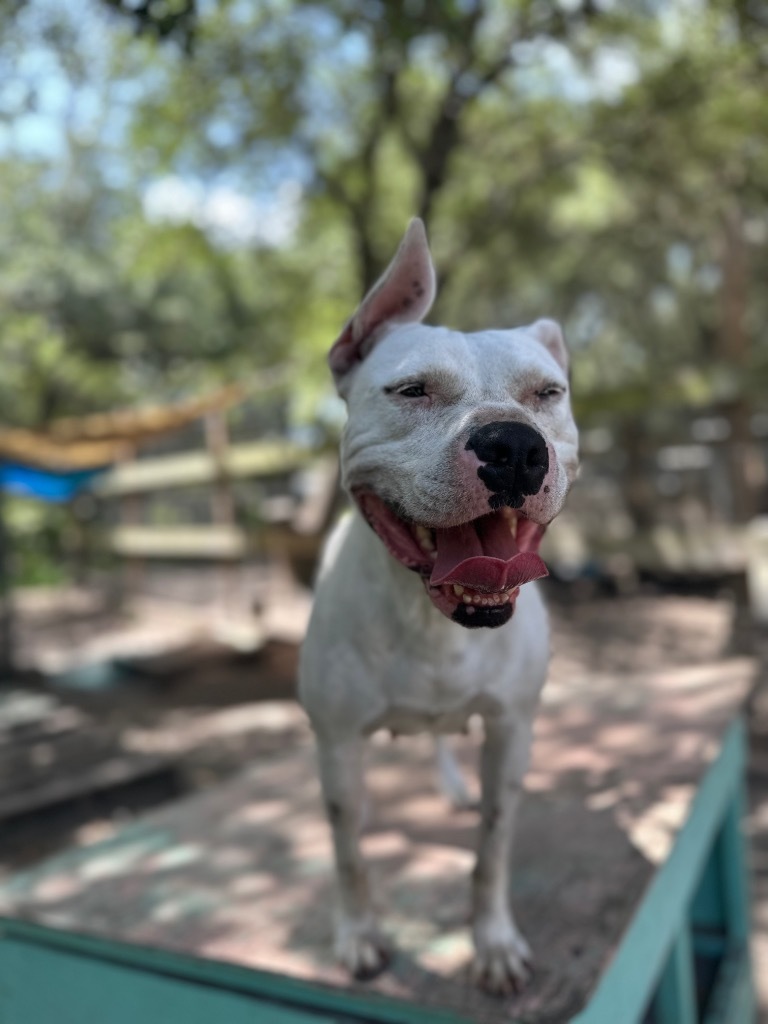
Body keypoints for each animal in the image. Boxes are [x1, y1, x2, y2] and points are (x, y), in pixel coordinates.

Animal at [296, 218, 581, 991]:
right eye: (412, 390)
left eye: (547, 393)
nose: (513, 446)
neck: (432, 623)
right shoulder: (336, 744)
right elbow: (349, 851)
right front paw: (359, 934)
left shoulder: (512, 732)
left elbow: (492, 847)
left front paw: (493, 942)